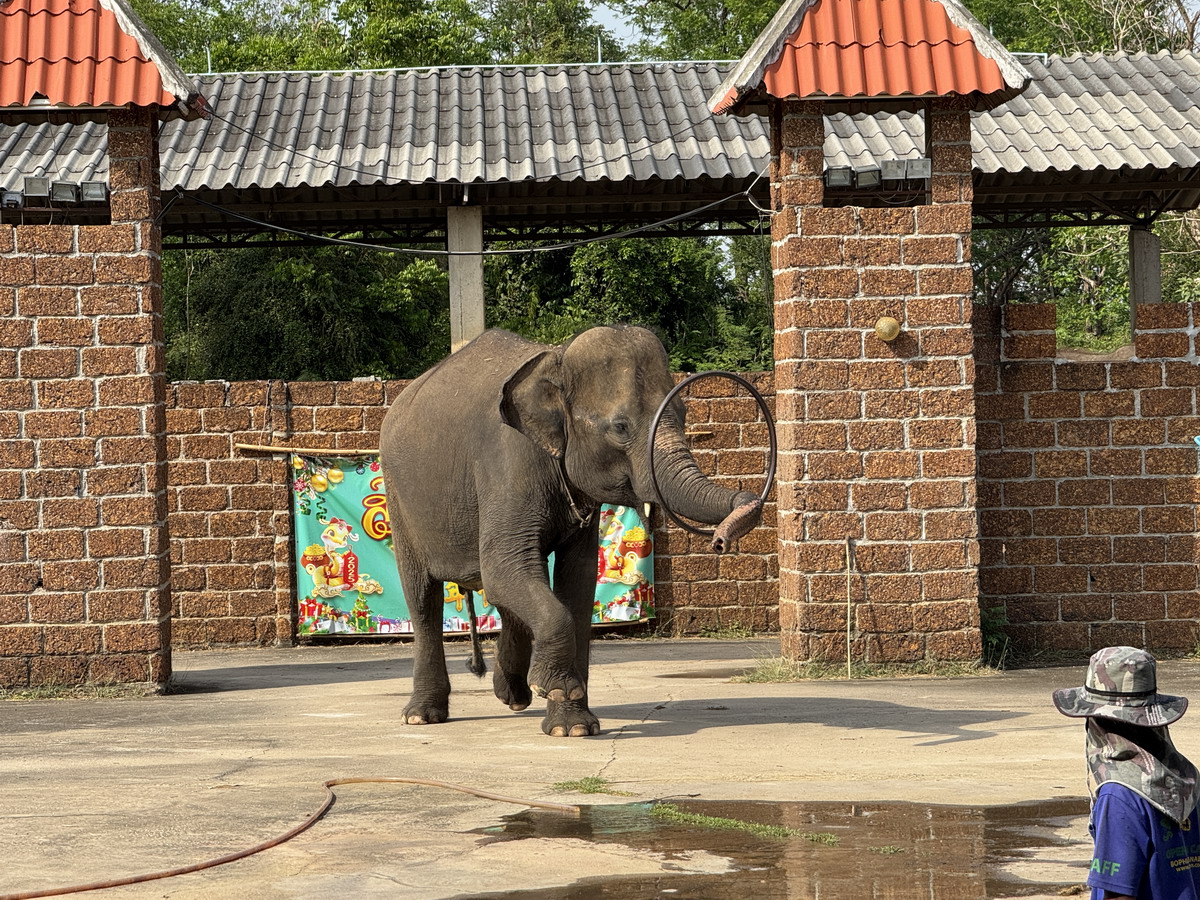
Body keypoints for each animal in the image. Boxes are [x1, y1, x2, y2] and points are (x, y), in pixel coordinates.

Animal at [379, 328, 763, 734]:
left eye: (684, 415)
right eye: (620, 427)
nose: (721, 540)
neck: (558, 358)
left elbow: (577, 582)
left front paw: (574, 727)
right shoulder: (507, 464)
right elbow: (505, 566)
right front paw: (559, 693)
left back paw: (514, 696)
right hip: (399, 498)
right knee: (424, 597)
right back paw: (421, 716)